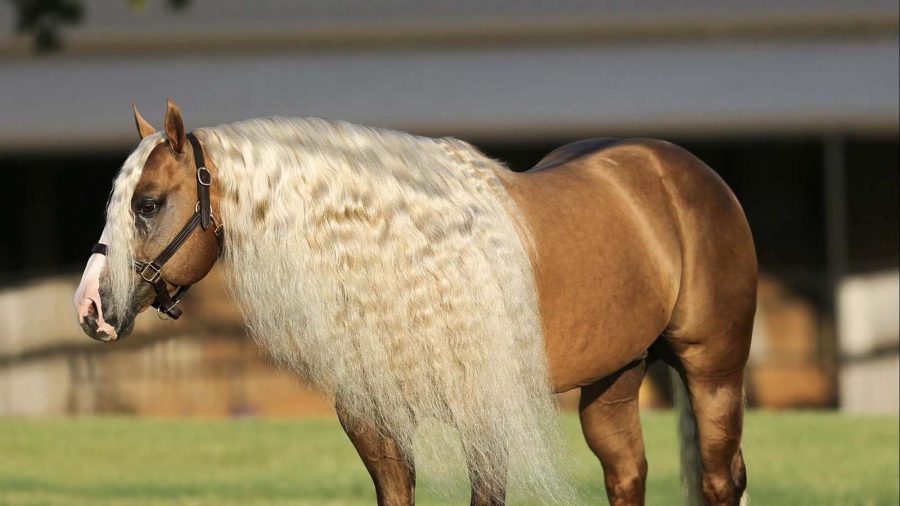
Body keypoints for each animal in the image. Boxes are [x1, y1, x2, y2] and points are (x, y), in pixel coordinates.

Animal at [74, 99, 755, 506]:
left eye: (150, 204)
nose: (90, 310)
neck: (410, 261)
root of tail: (678, 170)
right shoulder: (373, 425)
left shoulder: (485, 418)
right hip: (615, 379)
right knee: (627, 472)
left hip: (713, 371)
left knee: (720, 479)